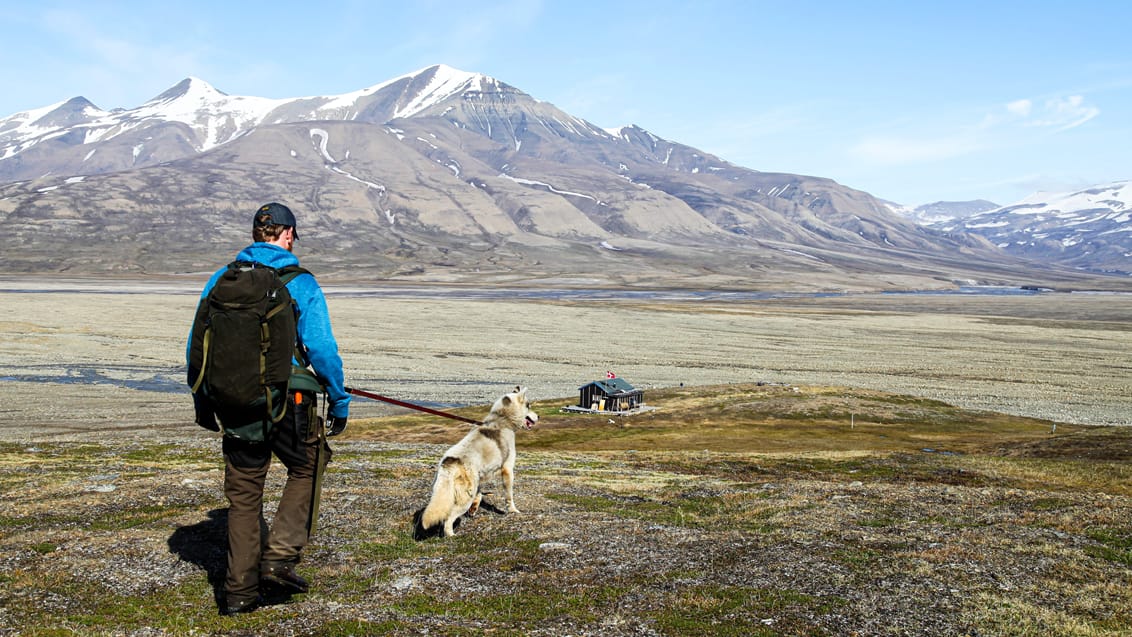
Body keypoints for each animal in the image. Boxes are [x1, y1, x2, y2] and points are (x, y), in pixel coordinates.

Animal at [412, 386, 538, 540]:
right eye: (528, 405)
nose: (538, 416)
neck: (502, 418)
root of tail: (450, 461)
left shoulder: (479, 477)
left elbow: (479, 494)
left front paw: (474, 508)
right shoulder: (507, 469)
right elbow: (509, 495)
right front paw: (513, 510)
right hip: (464, 499)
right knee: (449, 517)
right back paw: (451, 534)